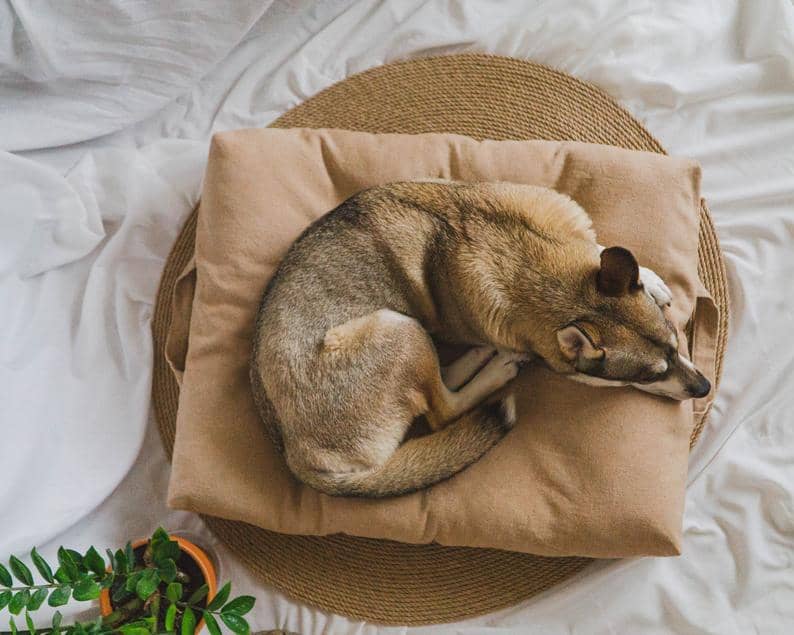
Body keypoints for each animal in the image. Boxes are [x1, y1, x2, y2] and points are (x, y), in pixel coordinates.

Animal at [251, 181, 708, 500]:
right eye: (649, 375)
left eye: (676, 345)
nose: (704, 387)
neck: (535, 268)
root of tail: (298, 456)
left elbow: (601, 250)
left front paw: (650, 279)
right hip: (397, 331)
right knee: (442, 410)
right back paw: (496, 368)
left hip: (409, 335)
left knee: (443, 381)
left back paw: (481, 355)